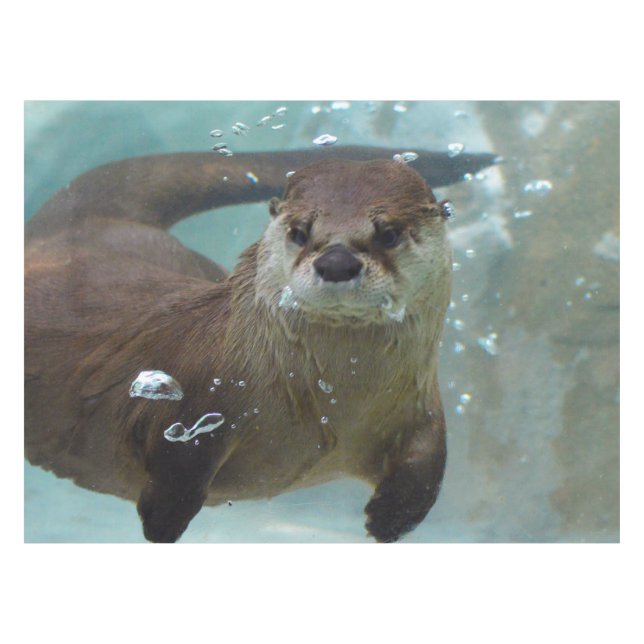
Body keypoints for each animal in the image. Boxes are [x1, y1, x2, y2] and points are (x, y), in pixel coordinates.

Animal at [24, 145, 496, 542]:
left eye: (389, 234)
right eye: (300, 231)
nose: (336, 261)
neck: (332, 404)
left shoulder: (420, 405)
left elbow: (429, 462)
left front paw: (390, 518)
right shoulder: (197, 402)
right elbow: (179, 464)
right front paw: (163, 519)